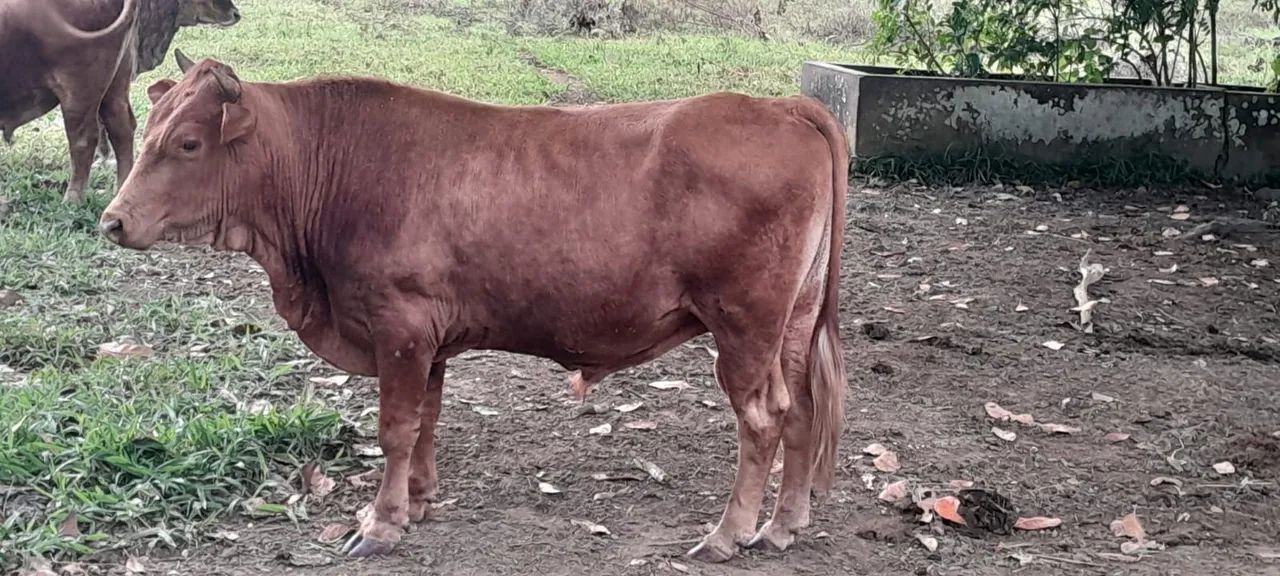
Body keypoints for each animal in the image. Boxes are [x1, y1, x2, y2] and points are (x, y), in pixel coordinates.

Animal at [0, 0, 240, 204]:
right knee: (121, 127)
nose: (234, 13)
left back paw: (72, 198)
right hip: (115, 85)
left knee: (84, 139)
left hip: (78, 89)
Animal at [99, 54, 849, 564]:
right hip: (793, 324)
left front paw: (380, 522)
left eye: (188, 142)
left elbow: (396, 427)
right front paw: (419, 501)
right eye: (152, 127)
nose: (112, 220)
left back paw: (729, 533)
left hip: (744, 328)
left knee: (763, 419)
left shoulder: (399, 326)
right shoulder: (426, 338)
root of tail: (782, 106)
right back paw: (784, 525)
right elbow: (427, 420)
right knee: (803, 411)